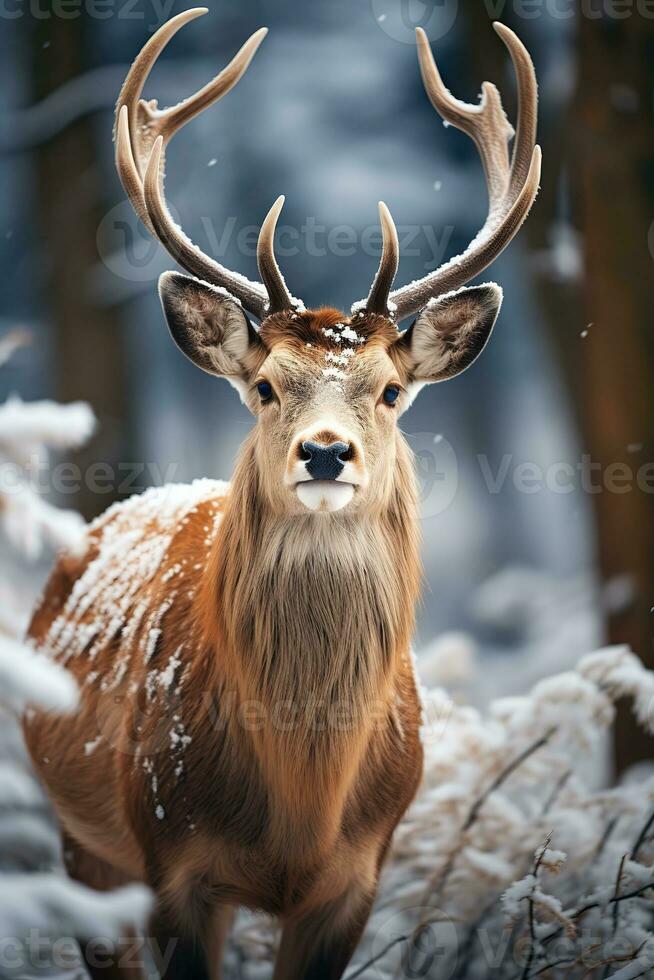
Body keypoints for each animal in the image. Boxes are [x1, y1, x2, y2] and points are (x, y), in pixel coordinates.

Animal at [23, 9, 540, 980]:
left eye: (390, 389)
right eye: (266, 385)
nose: (327, 452)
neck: (302, 805)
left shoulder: (357, 876)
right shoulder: (171, 862)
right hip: (83, 845)